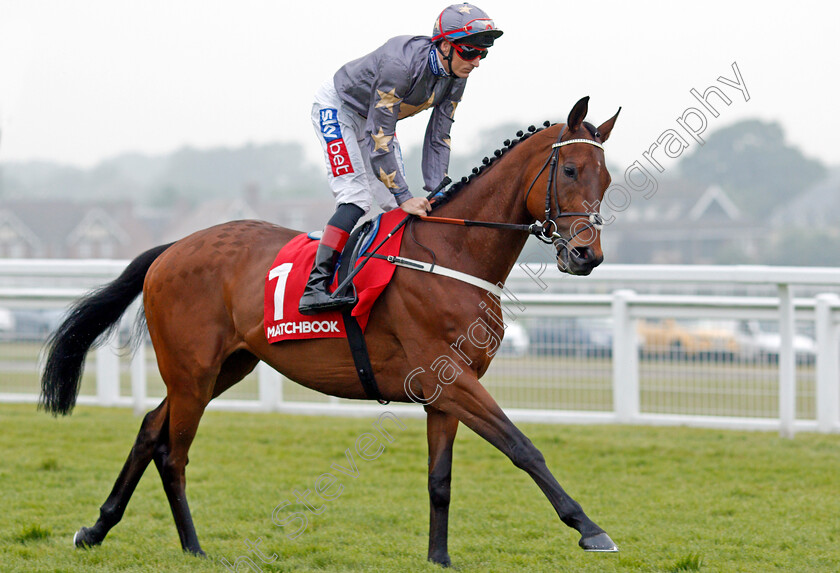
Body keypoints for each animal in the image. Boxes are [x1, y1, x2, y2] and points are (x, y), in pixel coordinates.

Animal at [41, 96, 616, 564]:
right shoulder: (450, 377)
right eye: (569, 169)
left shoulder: (444, 392)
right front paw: (590, 529)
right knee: (173, 452)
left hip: (224, 367)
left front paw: (439, 558)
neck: (452, 255)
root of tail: (171, 249)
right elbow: (523, 447)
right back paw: (192, 546)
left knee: (148, 429)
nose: (586, 255)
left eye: (605, 179)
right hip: (192, 372)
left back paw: (96, 529)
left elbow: (440, 479)